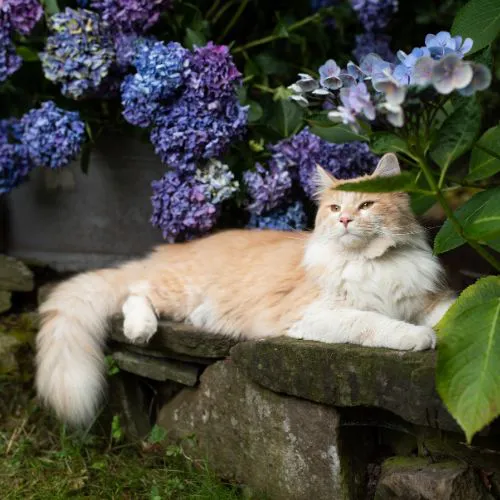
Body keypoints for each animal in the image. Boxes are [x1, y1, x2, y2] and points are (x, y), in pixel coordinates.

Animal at [36, 153, 458, 426]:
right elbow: (374, 322)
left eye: (367, 204)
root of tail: (175, 249)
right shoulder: (316, 315)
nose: (346, 221)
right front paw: (417, 337)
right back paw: (141, 328)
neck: (369, 264)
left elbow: (452, 311)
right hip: (177, 289)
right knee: (134, 292)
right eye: (336, 208)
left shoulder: (428, 300)